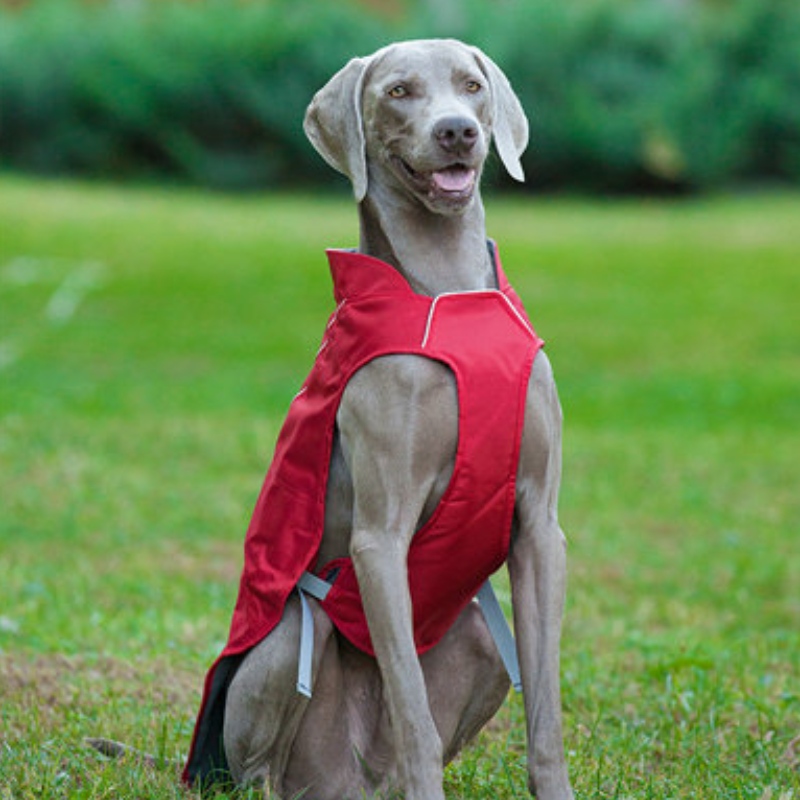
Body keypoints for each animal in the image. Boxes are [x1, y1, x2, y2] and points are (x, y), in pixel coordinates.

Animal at [182, 39, 576, 800]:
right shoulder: (378, 542)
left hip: (479, 643)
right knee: (265, 769)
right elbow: (413, 711)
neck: (449, 294)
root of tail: (345, 781)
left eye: (471, 86)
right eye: (398, 91)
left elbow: (544, 717)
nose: (457, 131)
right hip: (289, 636)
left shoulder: (540, 527)